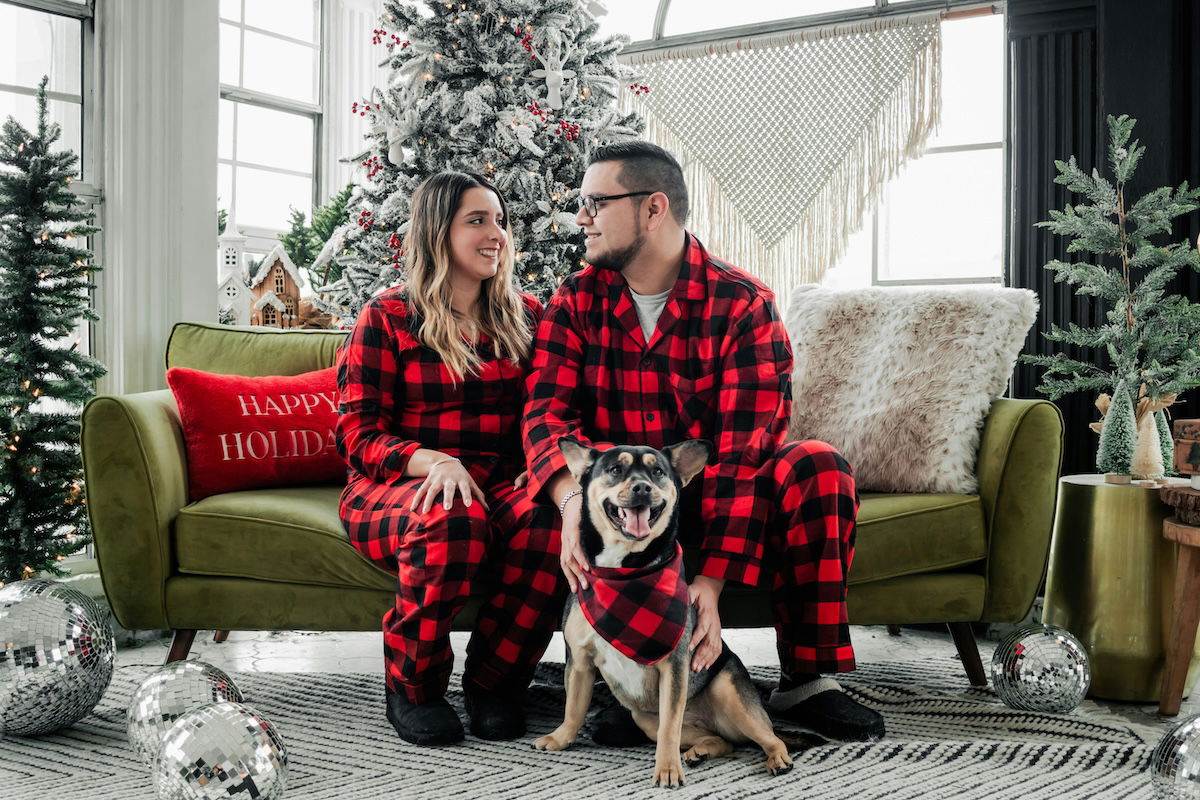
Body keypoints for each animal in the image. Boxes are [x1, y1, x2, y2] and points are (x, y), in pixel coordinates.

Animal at [532, 434, 792, 786]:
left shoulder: (674, 669)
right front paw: (561, 738)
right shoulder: (581, 661)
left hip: (729, 692)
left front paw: (667, 769)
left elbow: (670, 726)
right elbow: (573, 707)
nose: (642, 488)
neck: (624, 569)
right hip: (644, 718)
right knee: (722, 741)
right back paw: (700, 751)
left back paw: (777, 759)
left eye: (658, 472)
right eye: (615, 469)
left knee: (769, 736)